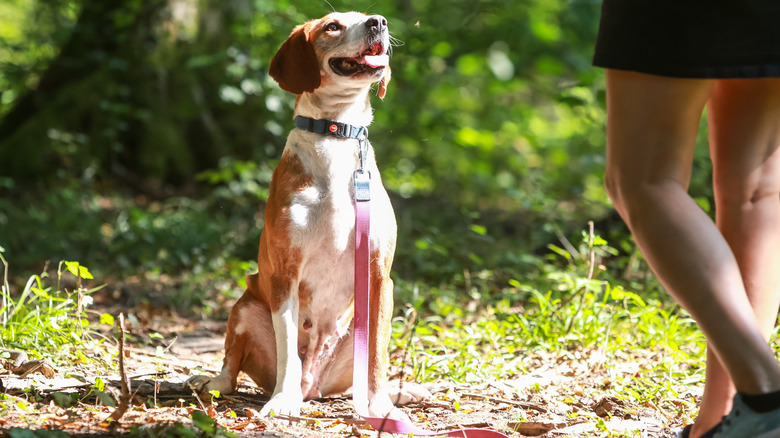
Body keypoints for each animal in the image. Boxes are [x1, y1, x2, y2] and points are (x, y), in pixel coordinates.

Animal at [187, 11, 430, 420]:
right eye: (332, 26)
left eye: (367, 16)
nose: (378, 22)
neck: (336, 136)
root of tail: (313, 385)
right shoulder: (285, 275)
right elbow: (288, 348)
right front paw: (282, 401)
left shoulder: (380, 277)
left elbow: (377, 357)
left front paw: (381, 407)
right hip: (244, 309)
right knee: (232, 367)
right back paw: (218, 384)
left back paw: (401, 392)